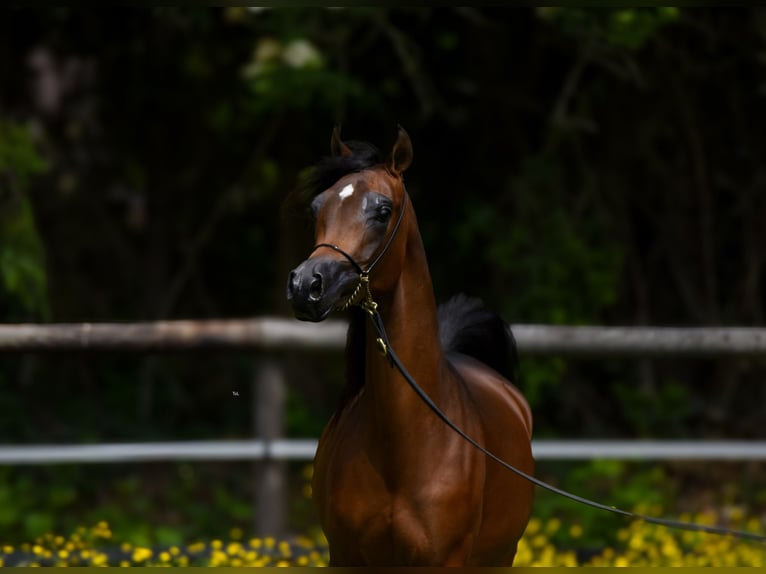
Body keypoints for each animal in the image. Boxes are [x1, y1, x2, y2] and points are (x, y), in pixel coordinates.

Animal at [286, 126, 534, 566]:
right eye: (317, 207)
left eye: (383, 211)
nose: (305, 286)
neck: (403, 450)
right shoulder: (344, 556)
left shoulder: (447, 560)